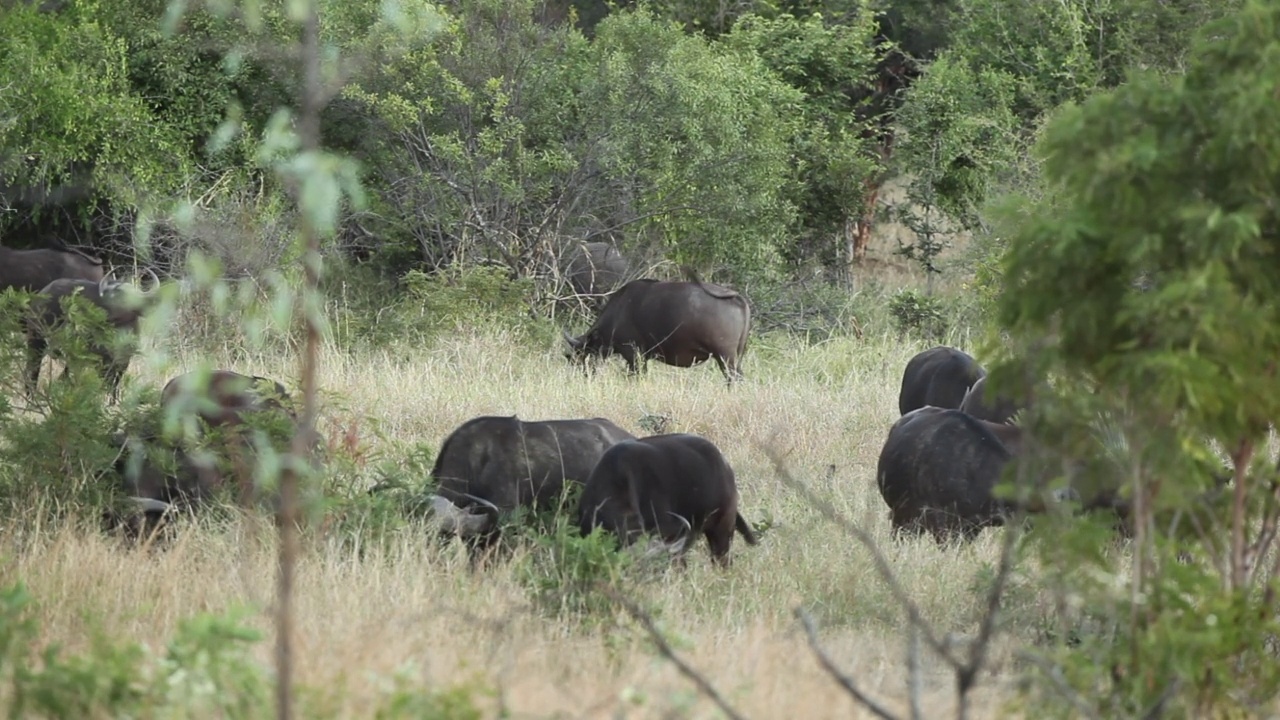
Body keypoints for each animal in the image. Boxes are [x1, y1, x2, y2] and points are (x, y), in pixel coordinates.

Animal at [23, 269, 160, 399]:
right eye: (108, 296)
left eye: (124, 297)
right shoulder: (101, 361)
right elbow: (106, 384)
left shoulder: (123, 362)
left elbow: (114, 385)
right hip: (37, 340)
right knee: (32, 370)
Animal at [563, 278, 747, 384]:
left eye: (581, 355)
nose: (584, 377)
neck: (618, 312)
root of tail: (736, 297)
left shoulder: (633, 354)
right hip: (734, 357)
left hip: (725, 357)